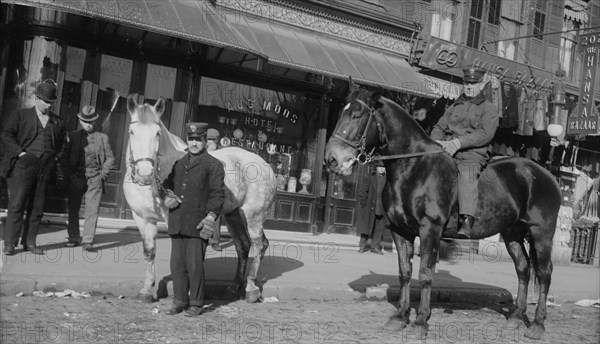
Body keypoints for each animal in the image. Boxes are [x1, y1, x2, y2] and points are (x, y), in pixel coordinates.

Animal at [125, 95, 278, 302]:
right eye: (132, 131)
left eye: (157, 133)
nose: (145, 174)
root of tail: (265, 164)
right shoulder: (142, 218)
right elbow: (149, 252)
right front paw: (147, 290)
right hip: (233, 215)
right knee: (243, 246)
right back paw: (234, 288)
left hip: (254, 216)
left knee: (259, 245)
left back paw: (251, 288)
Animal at [326, 80, 560, 338]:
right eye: (341, 112)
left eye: (356, 115)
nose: (332, 159)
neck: (414, 166)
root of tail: (546, 175)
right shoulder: (400, 231)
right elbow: (405, 272)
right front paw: (400, 316)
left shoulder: (430, 230)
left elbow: (425, 274)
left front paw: (420, 321)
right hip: (512, 233)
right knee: (523, 268)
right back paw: (516, 317)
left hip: (541, 233)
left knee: (545, 274)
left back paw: (537, 324)